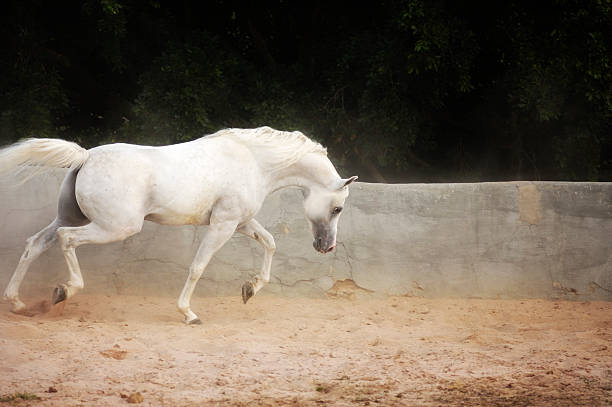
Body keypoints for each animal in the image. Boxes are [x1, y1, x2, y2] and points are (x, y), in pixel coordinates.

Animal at [0, 127, 356, 326]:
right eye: (337, 208)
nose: (327, 247)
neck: (254, 162)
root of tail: (84, 157)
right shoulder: (223, 225)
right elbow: (198, 266)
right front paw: (189, 314)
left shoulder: (239, 222)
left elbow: (269, 242)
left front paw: (250, 290)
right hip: (116, 227)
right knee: (66, 239)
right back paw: (63, 290)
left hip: (72, 216)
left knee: (35, 244)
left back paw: (17, 303)